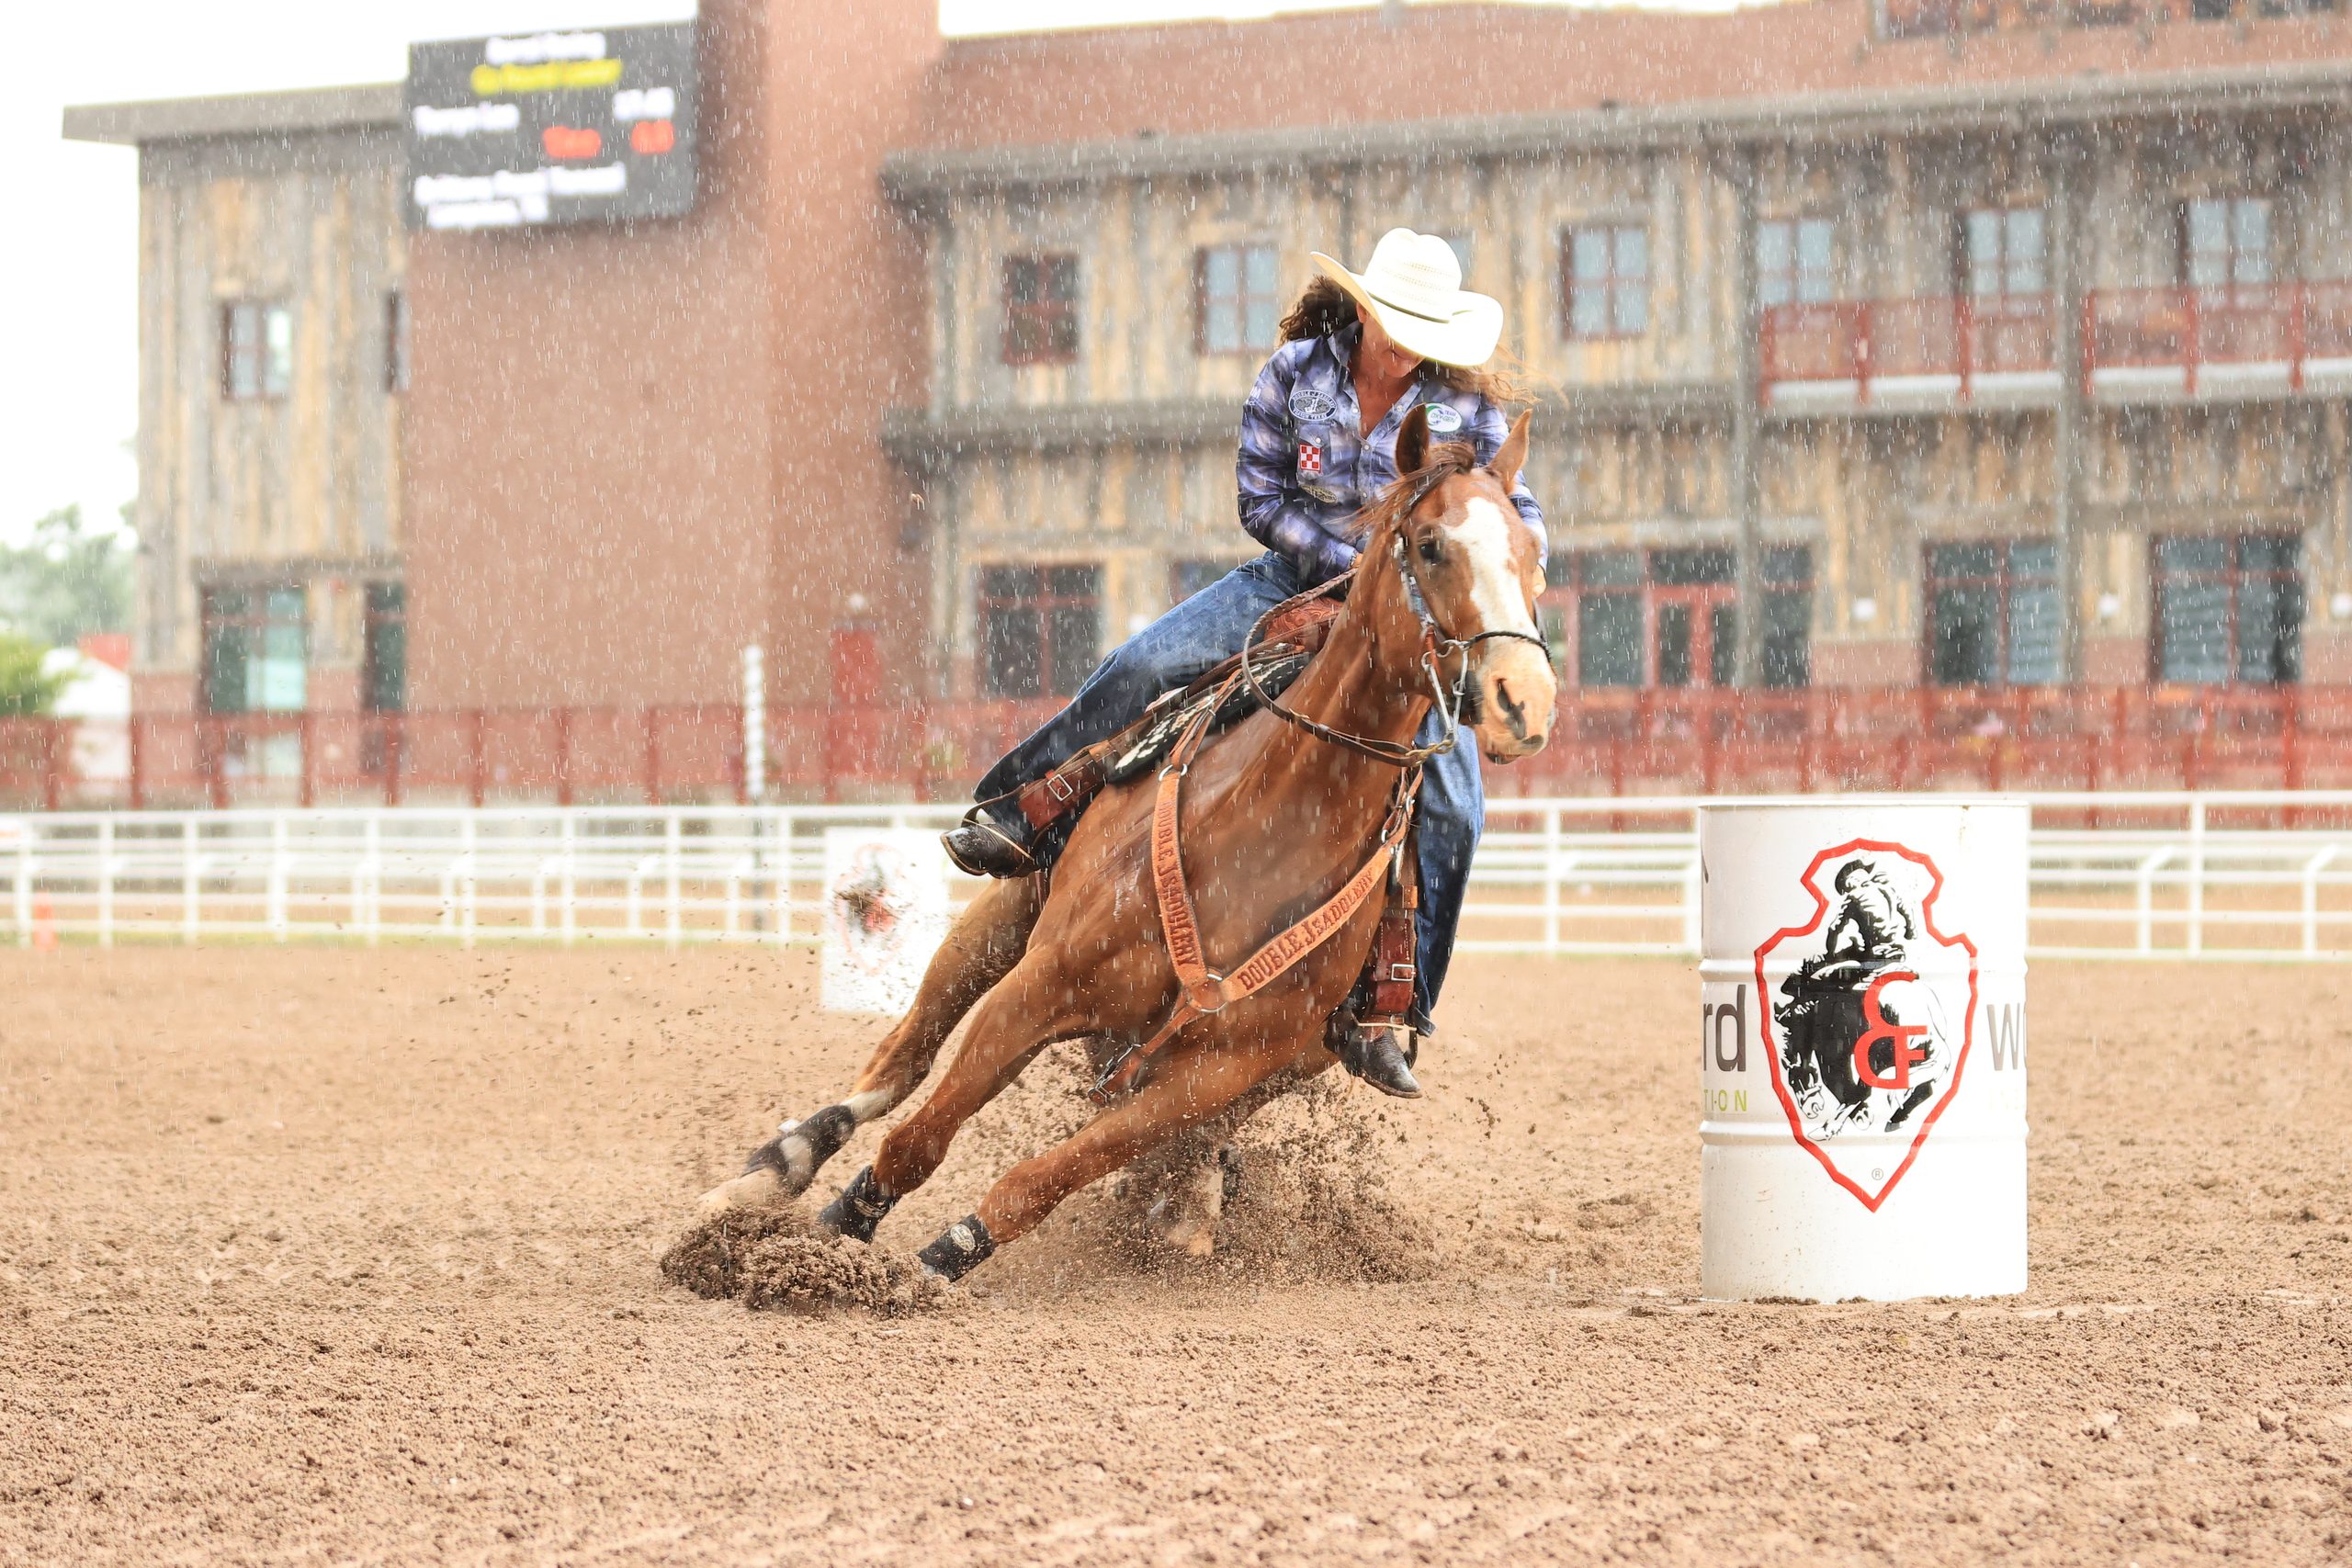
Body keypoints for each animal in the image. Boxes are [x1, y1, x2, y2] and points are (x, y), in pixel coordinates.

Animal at [696, 406, 1557, 1279]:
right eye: (1431, 543)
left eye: (1533, 560)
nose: (1525, 701)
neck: (1261, 834)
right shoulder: (1038, 989)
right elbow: (921, 1137)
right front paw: (830, 1238)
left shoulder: (1214, 1074)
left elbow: (1043, 1179)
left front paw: (941, 1260)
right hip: (1002, 916)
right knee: (902, 1056)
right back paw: (775, 1168)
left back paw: (1188, 1208)